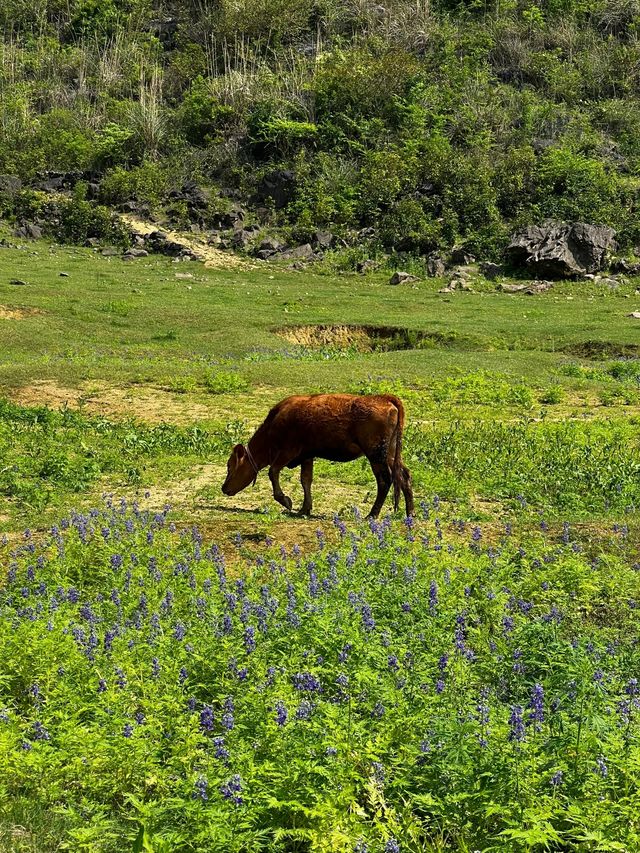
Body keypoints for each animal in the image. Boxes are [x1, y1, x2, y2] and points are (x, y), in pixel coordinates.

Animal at [221, 392, 416, 520]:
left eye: (230, 466)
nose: (224, 488)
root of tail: (384, 398)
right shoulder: (307, 456)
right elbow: (306, 480)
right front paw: (304, 509)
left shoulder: (288, 452)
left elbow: (273, 472)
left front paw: (285, 501)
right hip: (390, 455)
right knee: (404, 475)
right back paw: (410, 514)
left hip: (376, 455)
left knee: (385, 480)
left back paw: (372, 515)